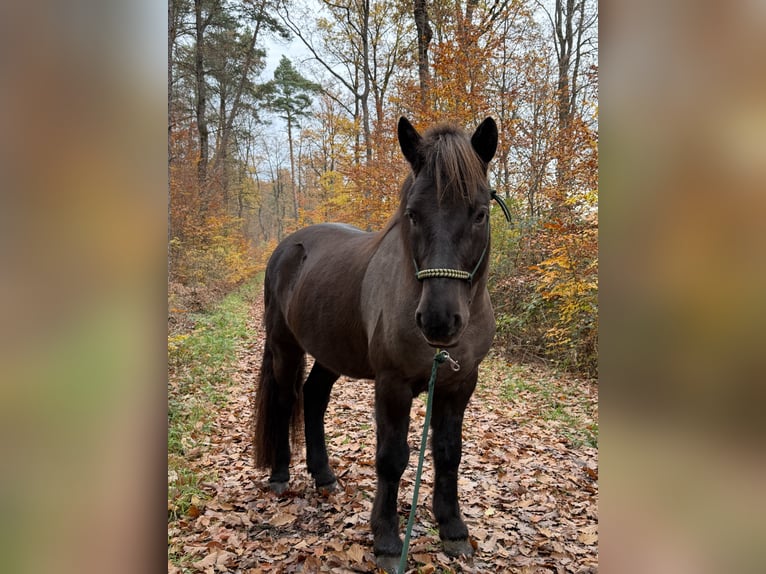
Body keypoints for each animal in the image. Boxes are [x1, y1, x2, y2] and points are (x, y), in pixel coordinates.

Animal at [253, 116, 499, 572]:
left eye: (480, 213)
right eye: (413, 214)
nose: (439, 320)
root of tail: (287, 247)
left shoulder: (459, 385)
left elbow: (448, 452)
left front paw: (453, 529)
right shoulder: (391, 385)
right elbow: (391, 457)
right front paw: (386, 539)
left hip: (330, 351)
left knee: (313, 397)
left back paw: (325, 477)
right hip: (284, 347)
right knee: (284, 399)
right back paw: (280, 477)